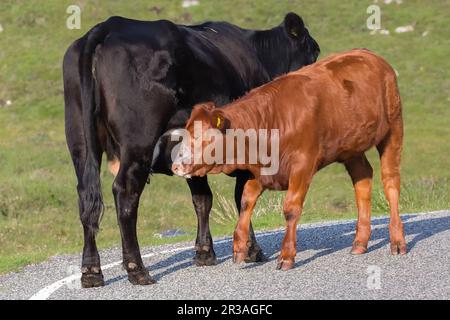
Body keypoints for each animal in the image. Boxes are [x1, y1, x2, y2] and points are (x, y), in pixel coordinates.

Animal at [63, 12, 320, 288]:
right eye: (313, 52)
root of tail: (109, 26)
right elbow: (242, 197)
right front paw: (251, 250)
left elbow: (202, 199)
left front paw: (205, 252)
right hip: (137, 142)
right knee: (125, 194)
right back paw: (137, 269)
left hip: (79, 141)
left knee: (86, 197)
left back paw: (91, 271)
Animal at [171, 49, 406, 270]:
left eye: (201, 137)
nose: (175, 165)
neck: (271, 121)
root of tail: (371, 56)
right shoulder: (262, 170)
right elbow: (246, 201)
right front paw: (240, 247)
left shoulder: (303, 164)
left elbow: (291, 208)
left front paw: (286, 256)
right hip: (351, 148)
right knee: (362, 180)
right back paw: (360, 242)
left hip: (393, 129)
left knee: (391, 181)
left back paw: (397, 241)